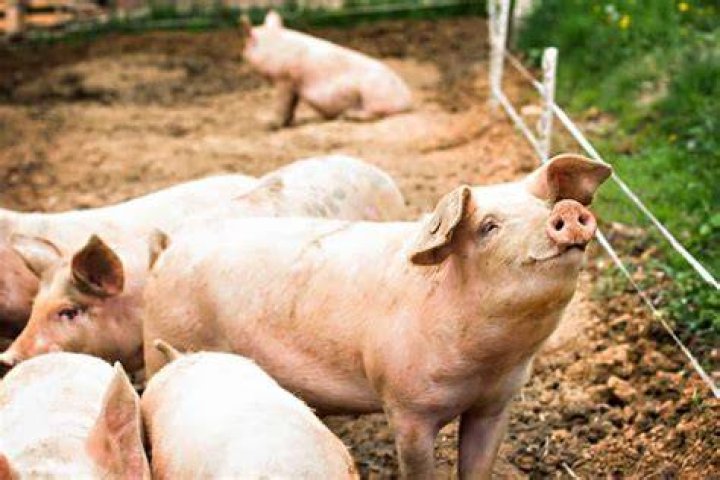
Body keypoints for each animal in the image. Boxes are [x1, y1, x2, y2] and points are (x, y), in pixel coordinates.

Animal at [242, 11, 412, 128]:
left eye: (247, 44)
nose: (242, 54)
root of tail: (407, 100)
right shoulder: (294, 83)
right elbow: (291, 105)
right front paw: (288, 123)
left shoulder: (284, 77)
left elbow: (282, 103)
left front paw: (269, 125)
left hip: (374, 94)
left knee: (375, 113)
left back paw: (348, 116)